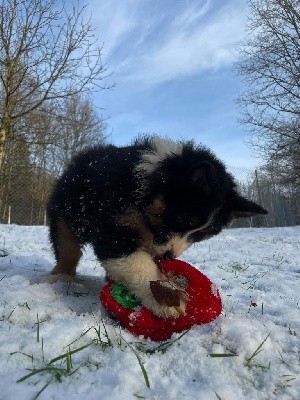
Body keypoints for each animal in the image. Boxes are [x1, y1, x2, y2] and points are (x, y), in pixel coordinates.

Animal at [47, 138, 268, 318]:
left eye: (200, 235)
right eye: (181, 218)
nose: (170, 256)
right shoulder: (113, 225)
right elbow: (137, 264)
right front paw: (168, 300)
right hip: (63, 210)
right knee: (67, 246)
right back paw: (60, 277)